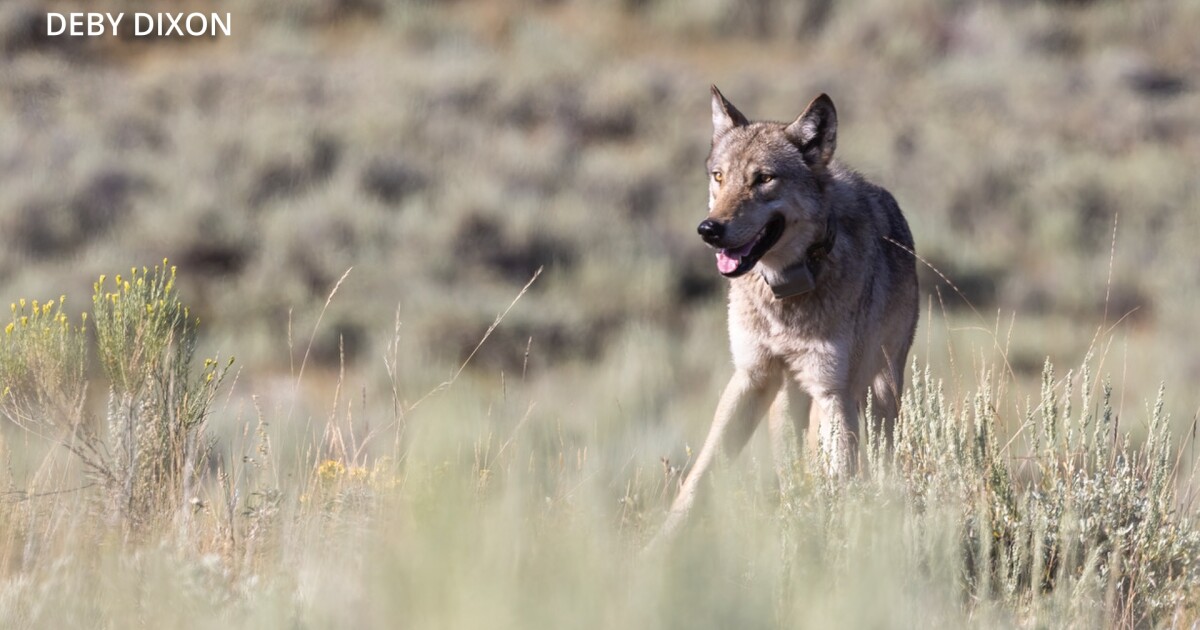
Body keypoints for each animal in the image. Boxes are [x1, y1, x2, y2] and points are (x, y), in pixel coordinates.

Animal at [657, 85, 916, 540]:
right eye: (719, 176)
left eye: (763, 179)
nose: (709, 230)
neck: (785, 294)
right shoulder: (750, 376)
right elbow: (701, 473)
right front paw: (658, 544)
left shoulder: (833, 393)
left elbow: (841, 480)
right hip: (786, 400)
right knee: (791, 465)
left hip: (878, 393)